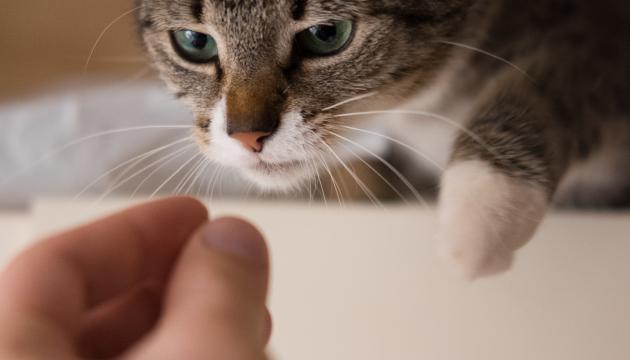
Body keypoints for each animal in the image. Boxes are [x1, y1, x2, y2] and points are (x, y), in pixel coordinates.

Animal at [138, 0, 630, 278]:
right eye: (193, 41)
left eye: (327, 34)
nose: (247, 135)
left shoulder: (604, 38)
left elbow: (551, 75)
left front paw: (481, 209)